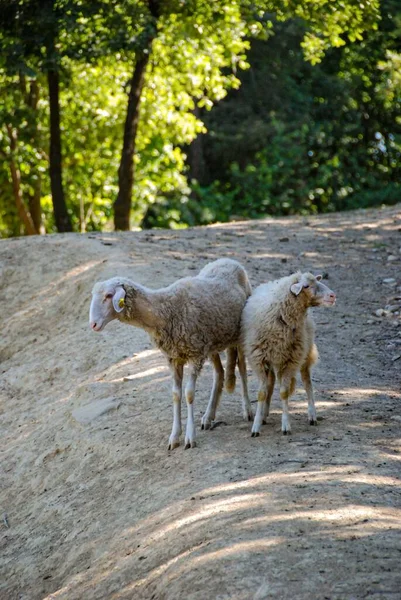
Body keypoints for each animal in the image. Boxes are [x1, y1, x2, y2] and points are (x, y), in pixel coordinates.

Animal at [89, 258, 252, 450]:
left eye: (108, 296)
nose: (93, 324)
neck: (166, 310)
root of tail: (228, 260)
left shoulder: (195, 354)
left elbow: (189, 394)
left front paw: (190, 437)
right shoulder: (174, 357)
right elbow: (176, 394)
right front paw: (174, 436)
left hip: (238, 333)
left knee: (242, 369)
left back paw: (248, 410)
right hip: (212, 341)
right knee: (219, 373)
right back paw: (208, 416)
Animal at [242, 272, 336, 436]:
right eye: (306, 286)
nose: (332, 296)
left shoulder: (290, 361)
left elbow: (284, 393)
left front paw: (285, 425)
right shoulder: (259, 360)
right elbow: (262, 394)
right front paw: (256, 426)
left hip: (304, 353)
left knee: (307, 382)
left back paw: (312, 414)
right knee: (271, 383)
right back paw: (264, 415)